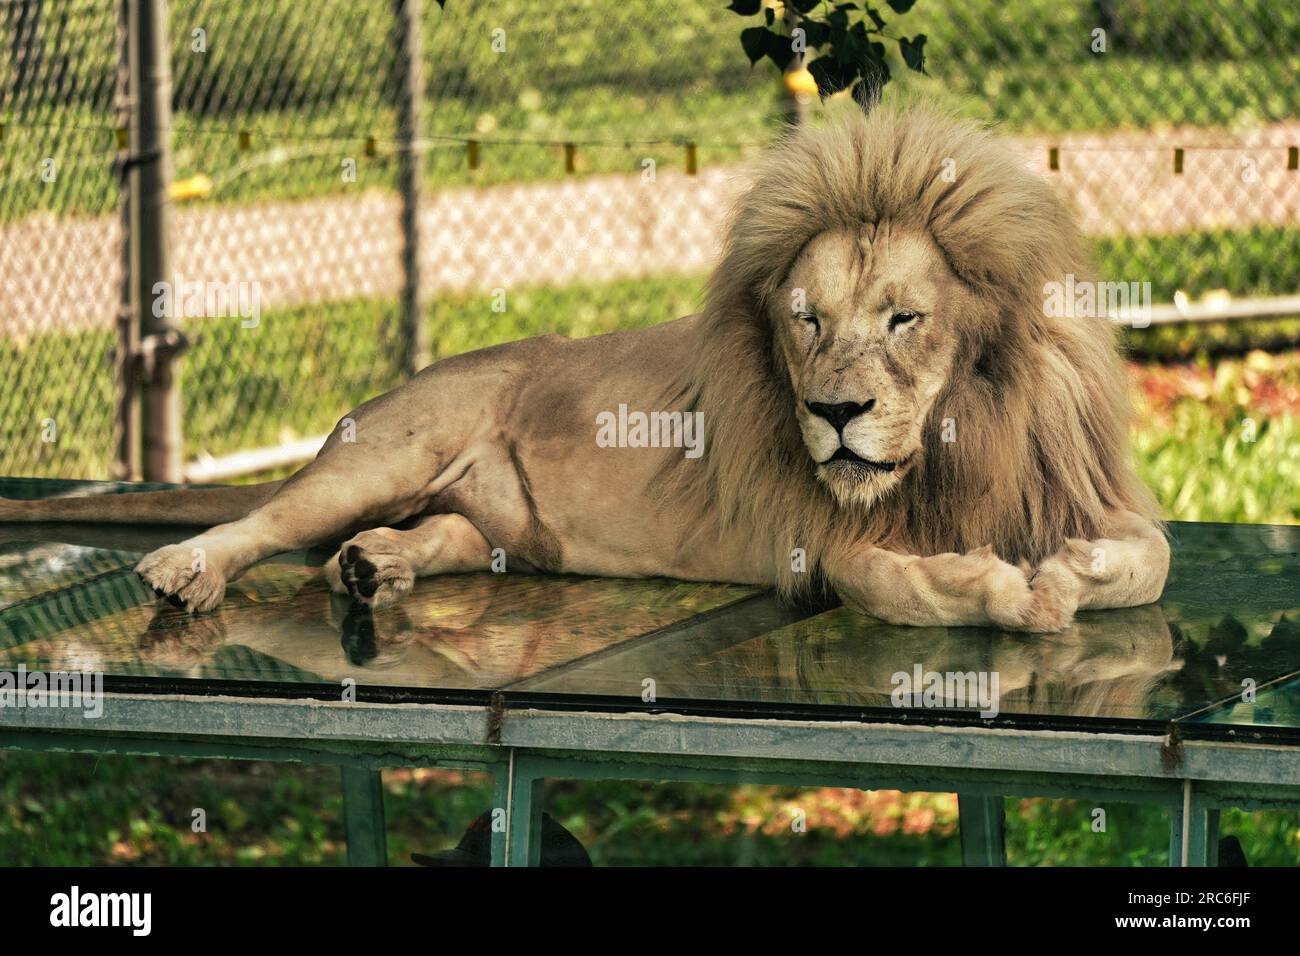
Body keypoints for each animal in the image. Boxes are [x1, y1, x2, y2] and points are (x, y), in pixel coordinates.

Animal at [0, 103, 1170, 631]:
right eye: (804, 320)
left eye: (904, 319)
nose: (833, 411)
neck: (964, 433)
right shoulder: (822, 543)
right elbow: (902, 581)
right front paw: (1006, 590)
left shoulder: (1086, 491)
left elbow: (1147, 558)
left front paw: (1068, 572)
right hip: (383, 452)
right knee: (267, 520)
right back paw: (190, 566)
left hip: (497, 529)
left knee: (441, 536)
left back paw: (376, 567)